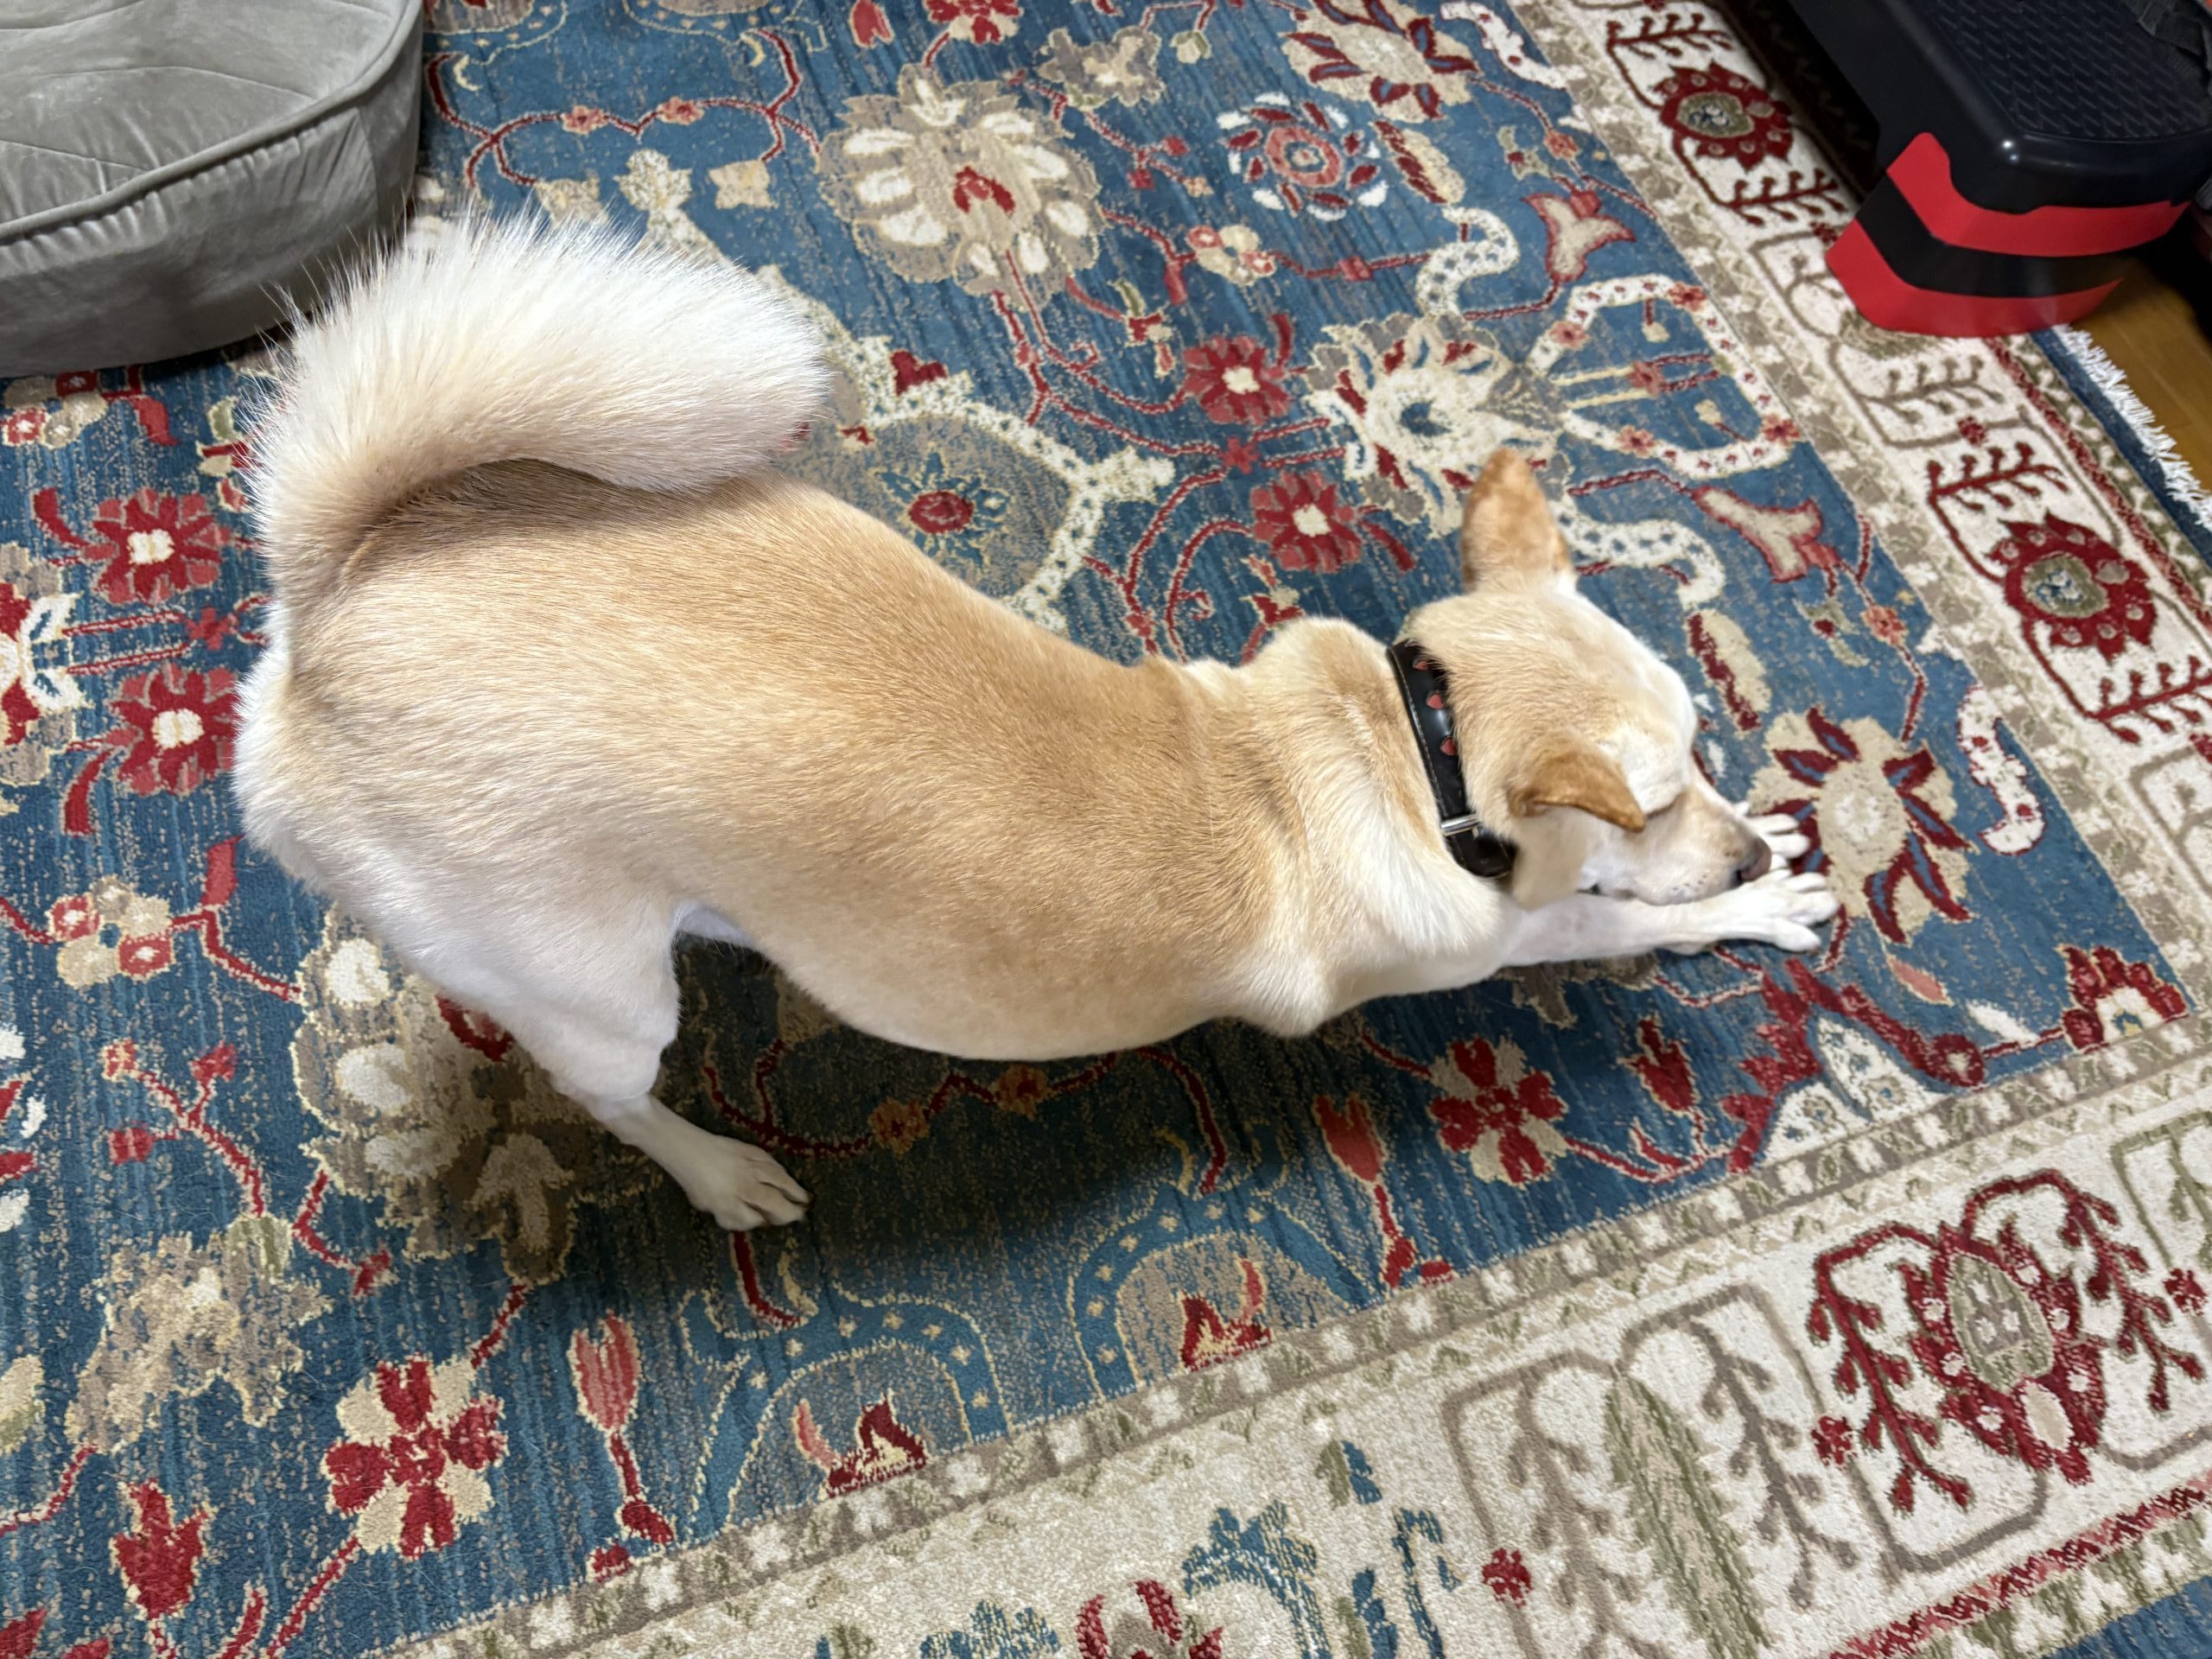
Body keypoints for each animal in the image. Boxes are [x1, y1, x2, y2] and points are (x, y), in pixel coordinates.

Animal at [234, 220, 1837, 1231]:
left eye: (1707, 749)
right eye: (1653, 800)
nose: (1749, 844)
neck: (1401, 739)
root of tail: (343, 593)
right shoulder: (1491, 935)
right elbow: (1625, 922)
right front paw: (1760, 906)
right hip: (604, 995)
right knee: (615, 1097)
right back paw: (719, 1172)